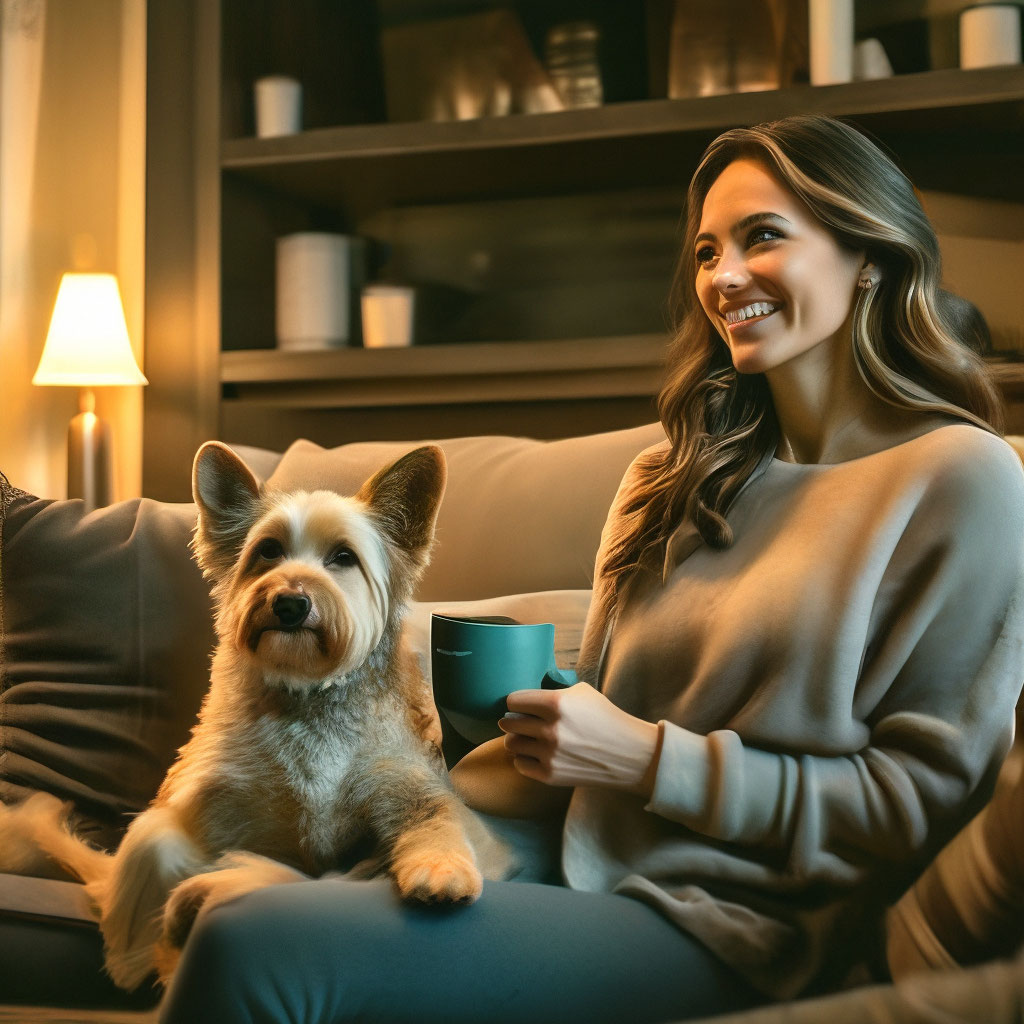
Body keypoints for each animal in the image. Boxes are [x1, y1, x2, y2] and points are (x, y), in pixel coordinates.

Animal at [9, 442, 512, 991]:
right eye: (268, 551)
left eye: (343, 557)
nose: (289, 602)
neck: (307, 691)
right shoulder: (213, 804)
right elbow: (164, 844)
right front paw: (168, 941)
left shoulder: (408, 783)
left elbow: (441, 821)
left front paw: (443, 871)